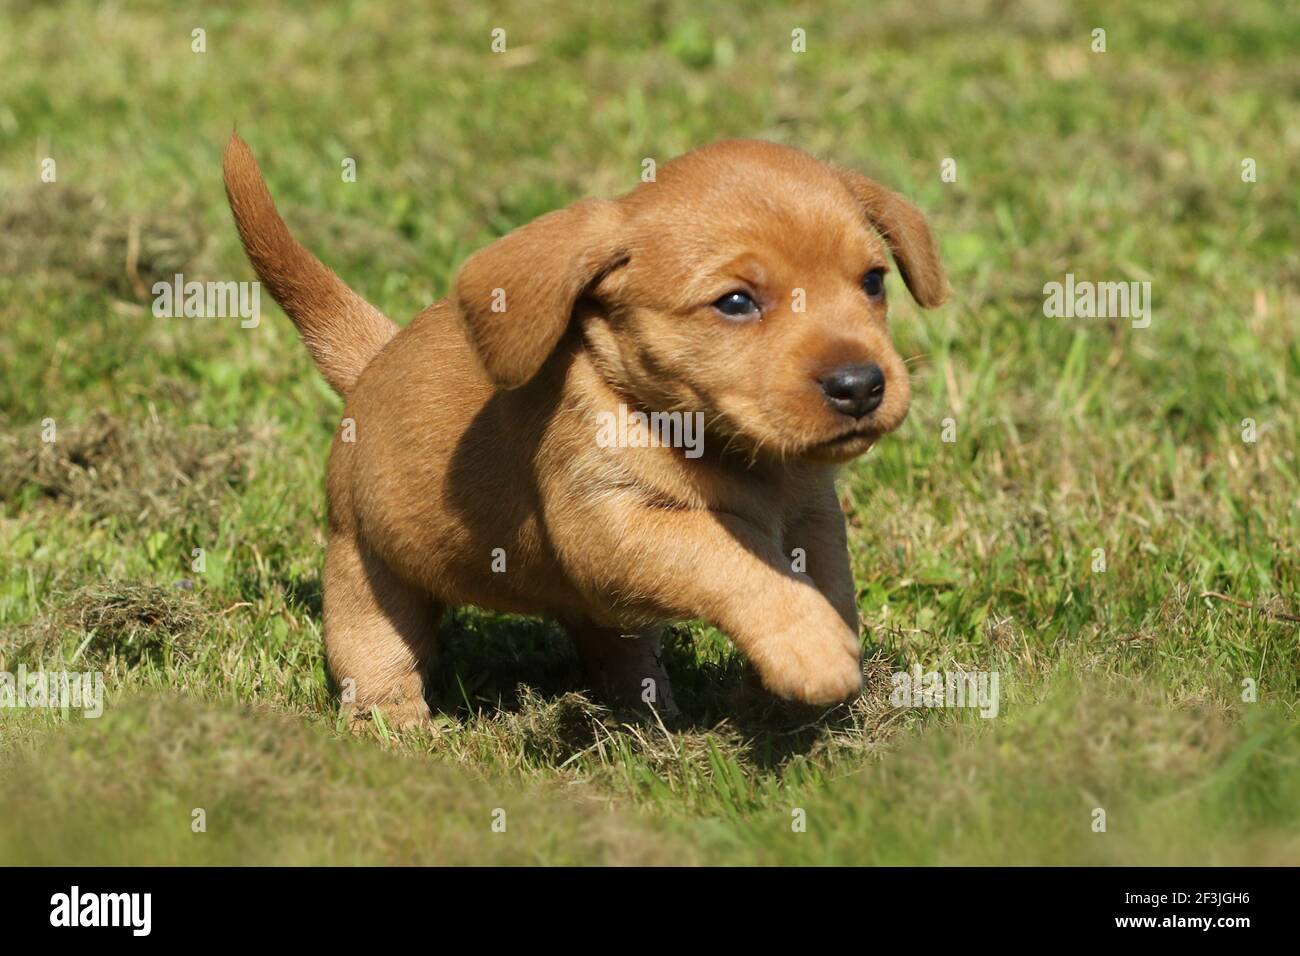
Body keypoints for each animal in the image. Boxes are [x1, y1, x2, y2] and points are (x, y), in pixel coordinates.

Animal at [223, 136, 946, 733]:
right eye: (736, 302)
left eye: (874, 281)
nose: (861, 385)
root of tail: (374, 359)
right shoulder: (613, 524)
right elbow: (733, 560)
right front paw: (811, 648)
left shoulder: (812, 518)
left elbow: (832, 586)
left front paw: (781, 685)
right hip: (365, 570)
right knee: (376, 660)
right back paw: (398, 732)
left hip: (600, 614)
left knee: (618, 654)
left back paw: (647, 717)